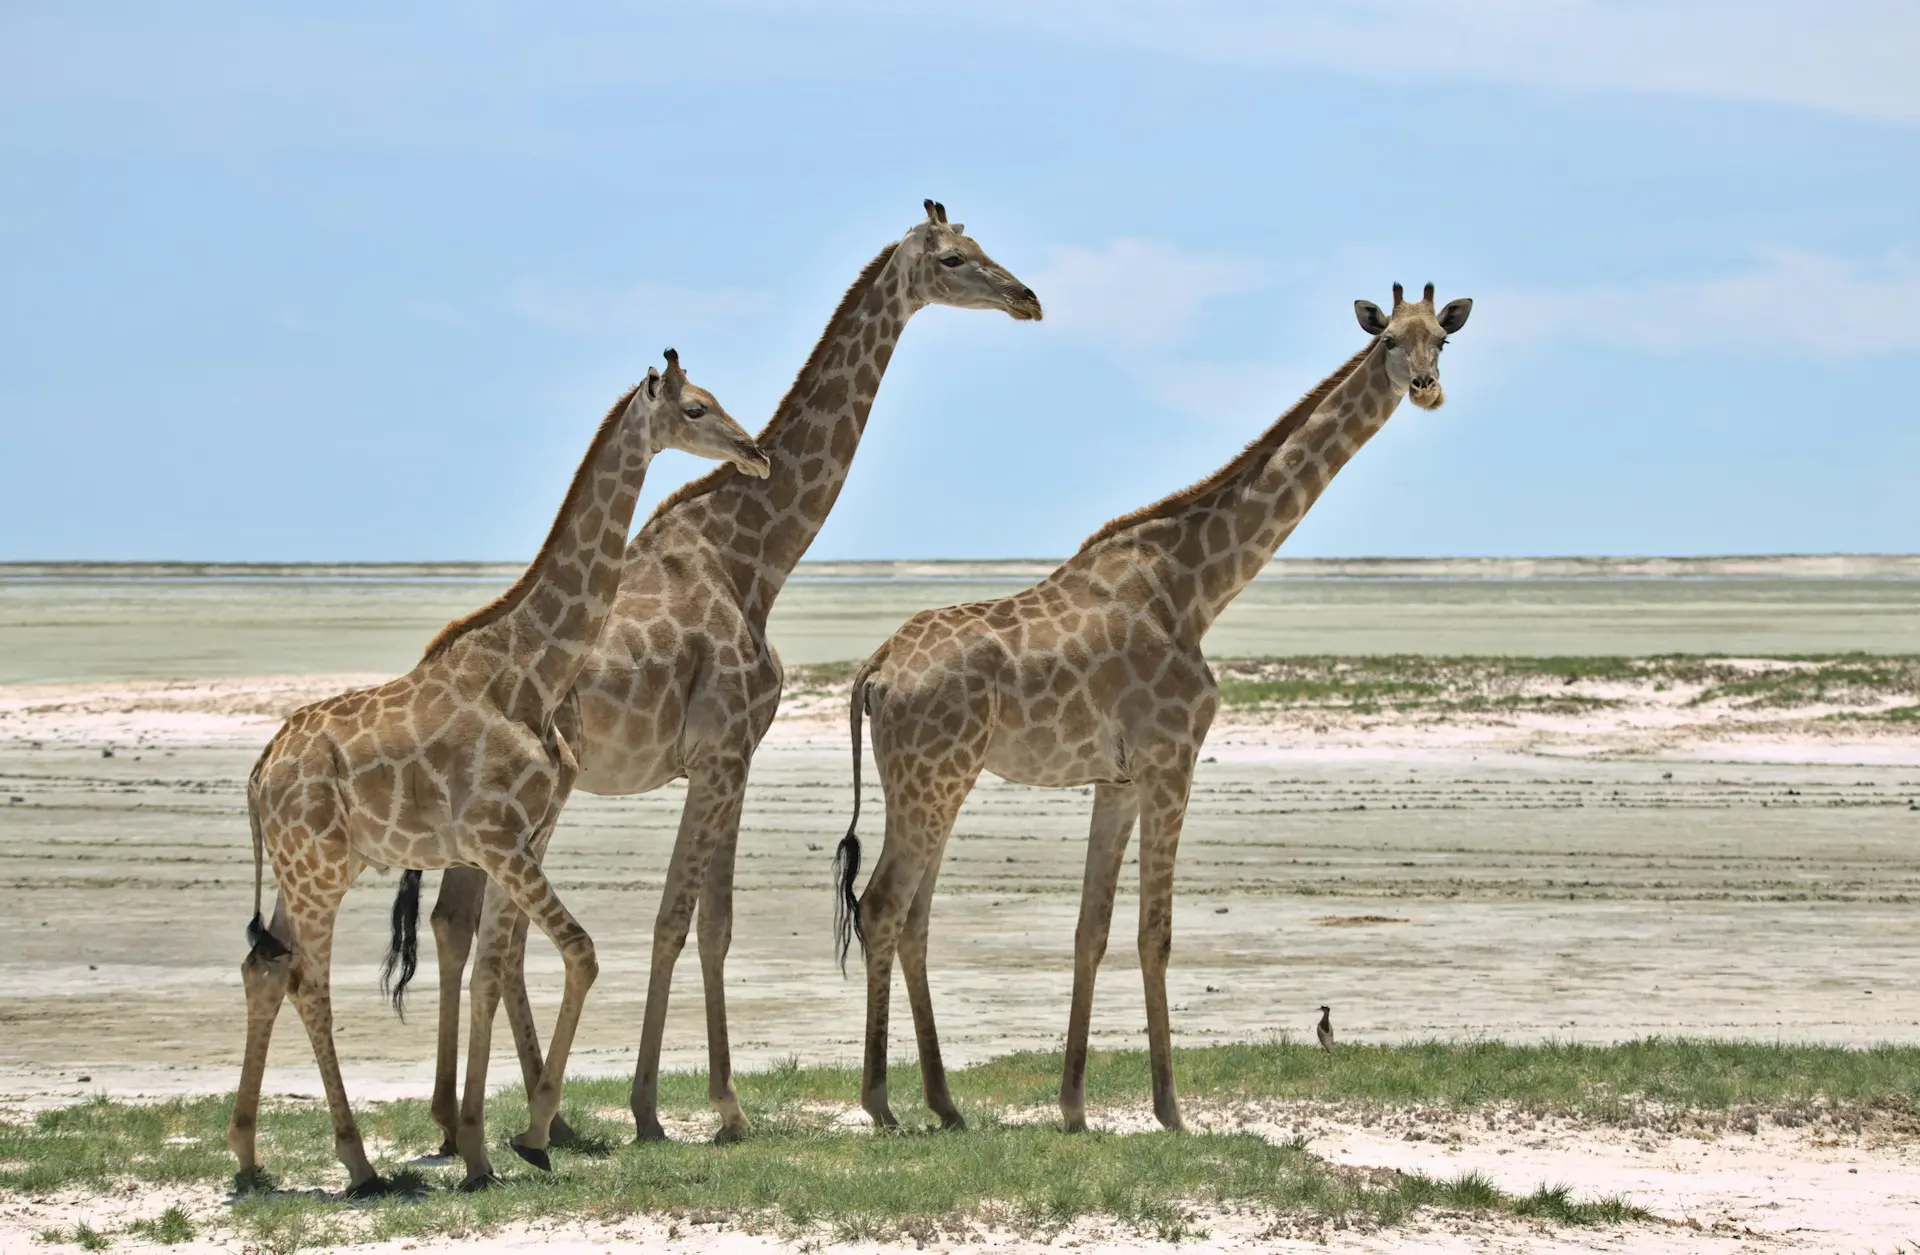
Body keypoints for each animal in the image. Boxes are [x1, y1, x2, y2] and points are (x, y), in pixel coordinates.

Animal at [227, 350, 769, 1193]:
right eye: (696, 409)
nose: (755, 453)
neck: (532, 668)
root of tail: (258, 772)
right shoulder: (500, 839)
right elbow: (576, 951)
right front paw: (528, 1136)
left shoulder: (514, 840)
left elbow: (492, 970)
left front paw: (485, 1147)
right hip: (317, 870)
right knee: (307, 982)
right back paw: (358, 1162)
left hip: (308, 867)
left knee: (266, 969)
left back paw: (250, 1157)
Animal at [386, 200, 1042, 1148]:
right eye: (956, 259)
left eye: (985, 245)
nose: (1027, 297)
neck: (755, 554)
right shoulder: (724, 751)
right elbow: (678, 920)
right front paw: (674, 1107)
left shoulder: (733, 757)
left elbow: (714, 923)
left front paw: (706, 1103)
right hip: (529, 799)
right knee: (476, 926)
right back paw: (513, 1116)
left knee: (454, 921)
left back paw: (476, 1116)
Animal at [832, 284, 1472, 1133]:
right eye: (1389, 341)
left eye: (1442, 338)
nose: (1428, 387)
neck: (1197, 586)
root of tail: (874, 669)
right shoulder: (1173, 760)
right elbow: (1154, 934)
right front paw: (1171, 1109)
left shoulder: (1118, 780)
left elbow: (1090, 931)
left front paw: (1073, 1106)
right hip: (931, 777)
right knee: (881, 906)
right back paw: (880, 1102)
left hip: (937, 781)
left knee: (913, 918)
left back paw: (945, 1101)